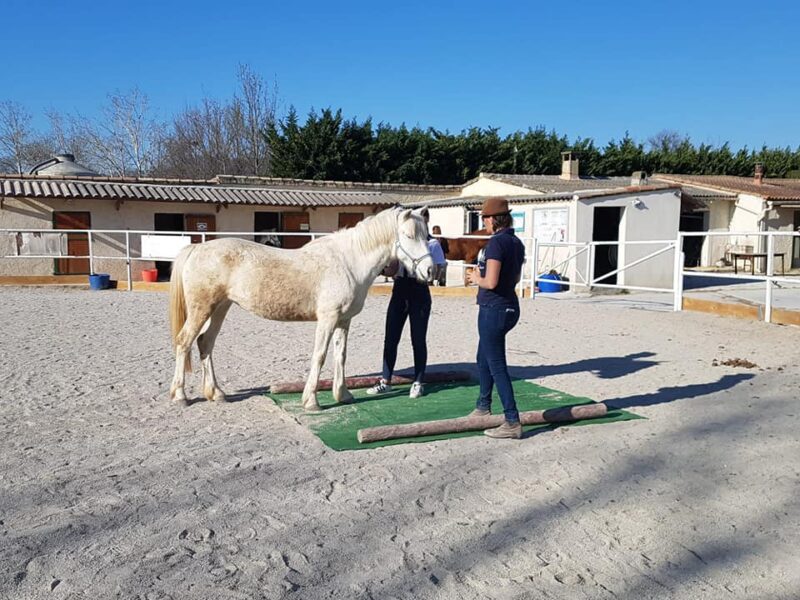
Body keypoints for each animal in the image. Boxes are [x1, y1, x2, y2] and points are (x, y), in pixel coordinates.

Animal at [166, 207, 434, 412]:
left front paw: (343, 395)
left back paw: (216, 393)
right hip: (202, 309)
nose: (431, 270)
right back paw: (180, 396)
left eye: (427, 234)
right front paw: (311, 401)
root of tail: (197, 249)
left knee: (205, 343)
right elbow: (320, 356)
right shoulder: (328, 319)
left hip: (220, 308)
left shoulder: (344, 321)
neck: (348, 262)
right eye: (409, 235)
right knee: (184, 342)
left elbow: (341, 356)